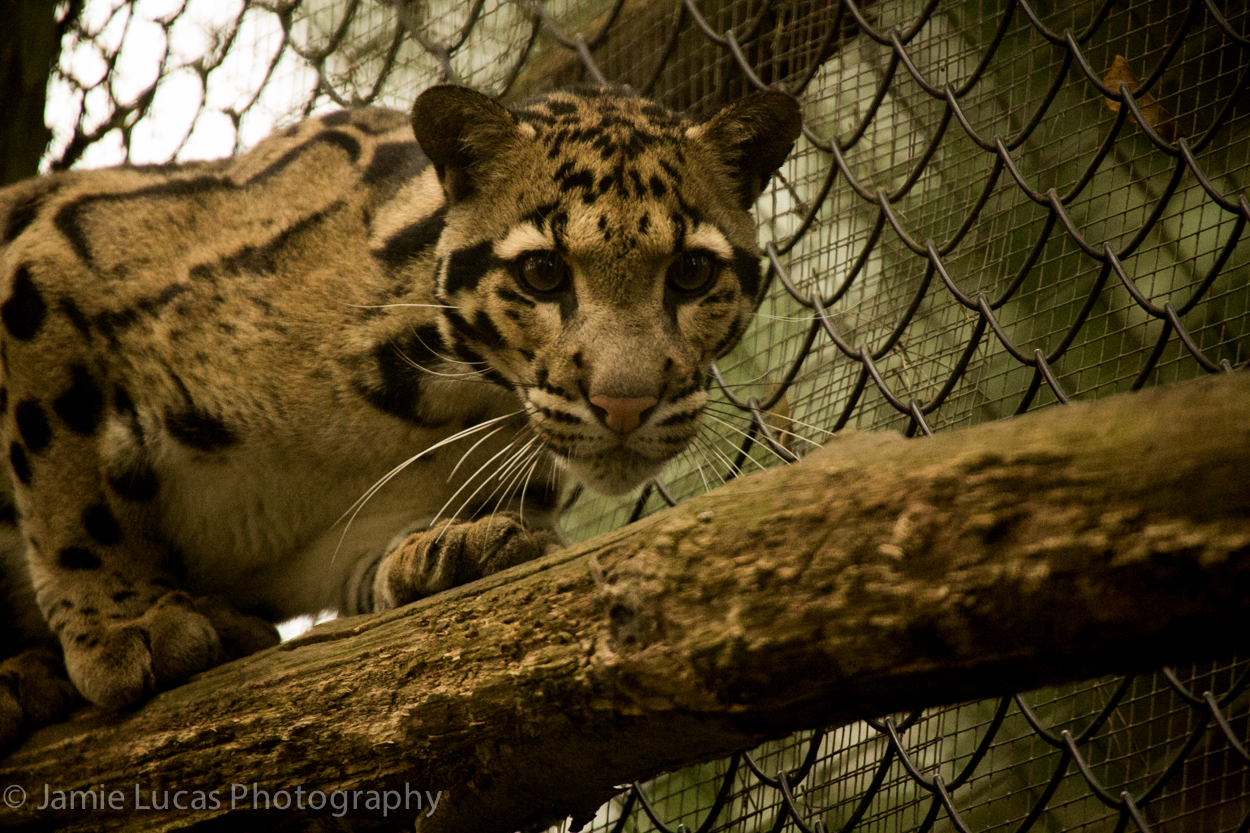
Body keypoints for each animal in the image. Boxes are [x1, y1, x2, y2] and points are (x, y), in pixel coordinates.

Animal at [0, 83, 801, 752]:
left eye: (692, 272)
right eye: (542, 272)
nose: (626, 401)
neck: (421, 408)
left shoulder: (346, 533)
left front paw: (451, 550)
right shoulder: (40, 263)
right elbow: (75, 497)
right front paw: (129, 621)